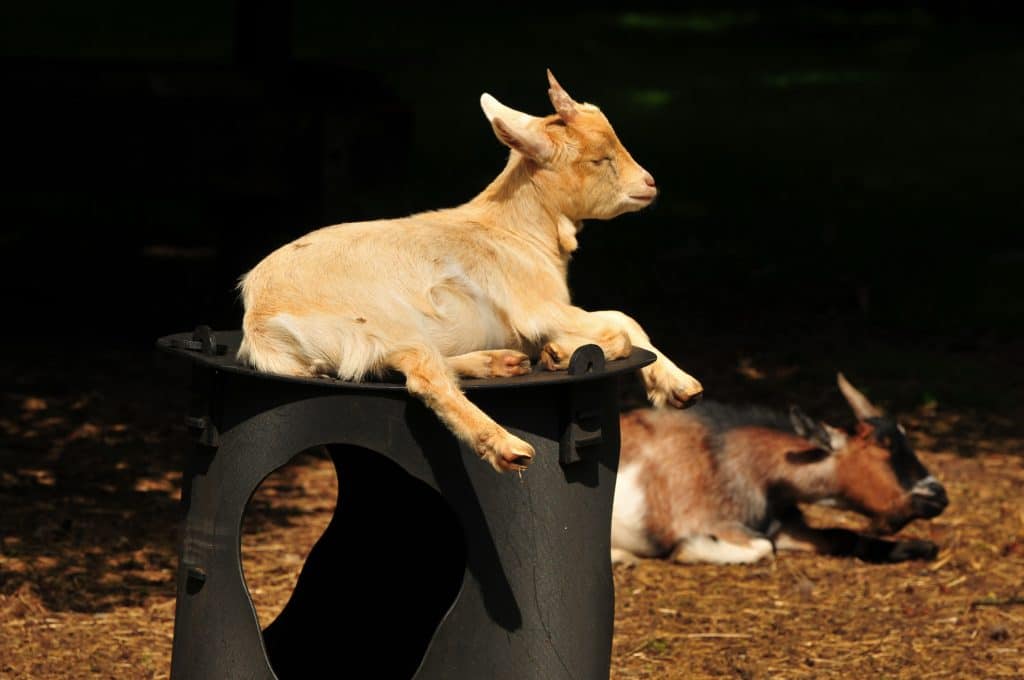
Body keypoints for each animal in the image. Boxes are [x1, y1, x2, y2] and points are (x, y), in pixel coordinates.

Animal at [237, 69, 704, 473]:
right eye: (597, 159)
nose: (649, 184)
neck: (516, 232)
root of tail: (259, 319)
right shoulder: (537, 308)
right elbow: (621, 326)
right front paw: (566, 355)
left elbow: (622, 322)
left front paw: (678, 386)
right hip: (383, 321)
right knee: (424, 379)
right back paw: (507, 446)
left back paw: (503, 364)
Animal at [610, 374, 946, 565]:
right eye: (883, 447)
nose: (939, 496)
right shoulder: (704, 520)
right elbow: (763, 546)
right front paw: (690, 550)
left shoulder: (784, 525)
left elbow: (841, 535)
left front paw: (921, 546)